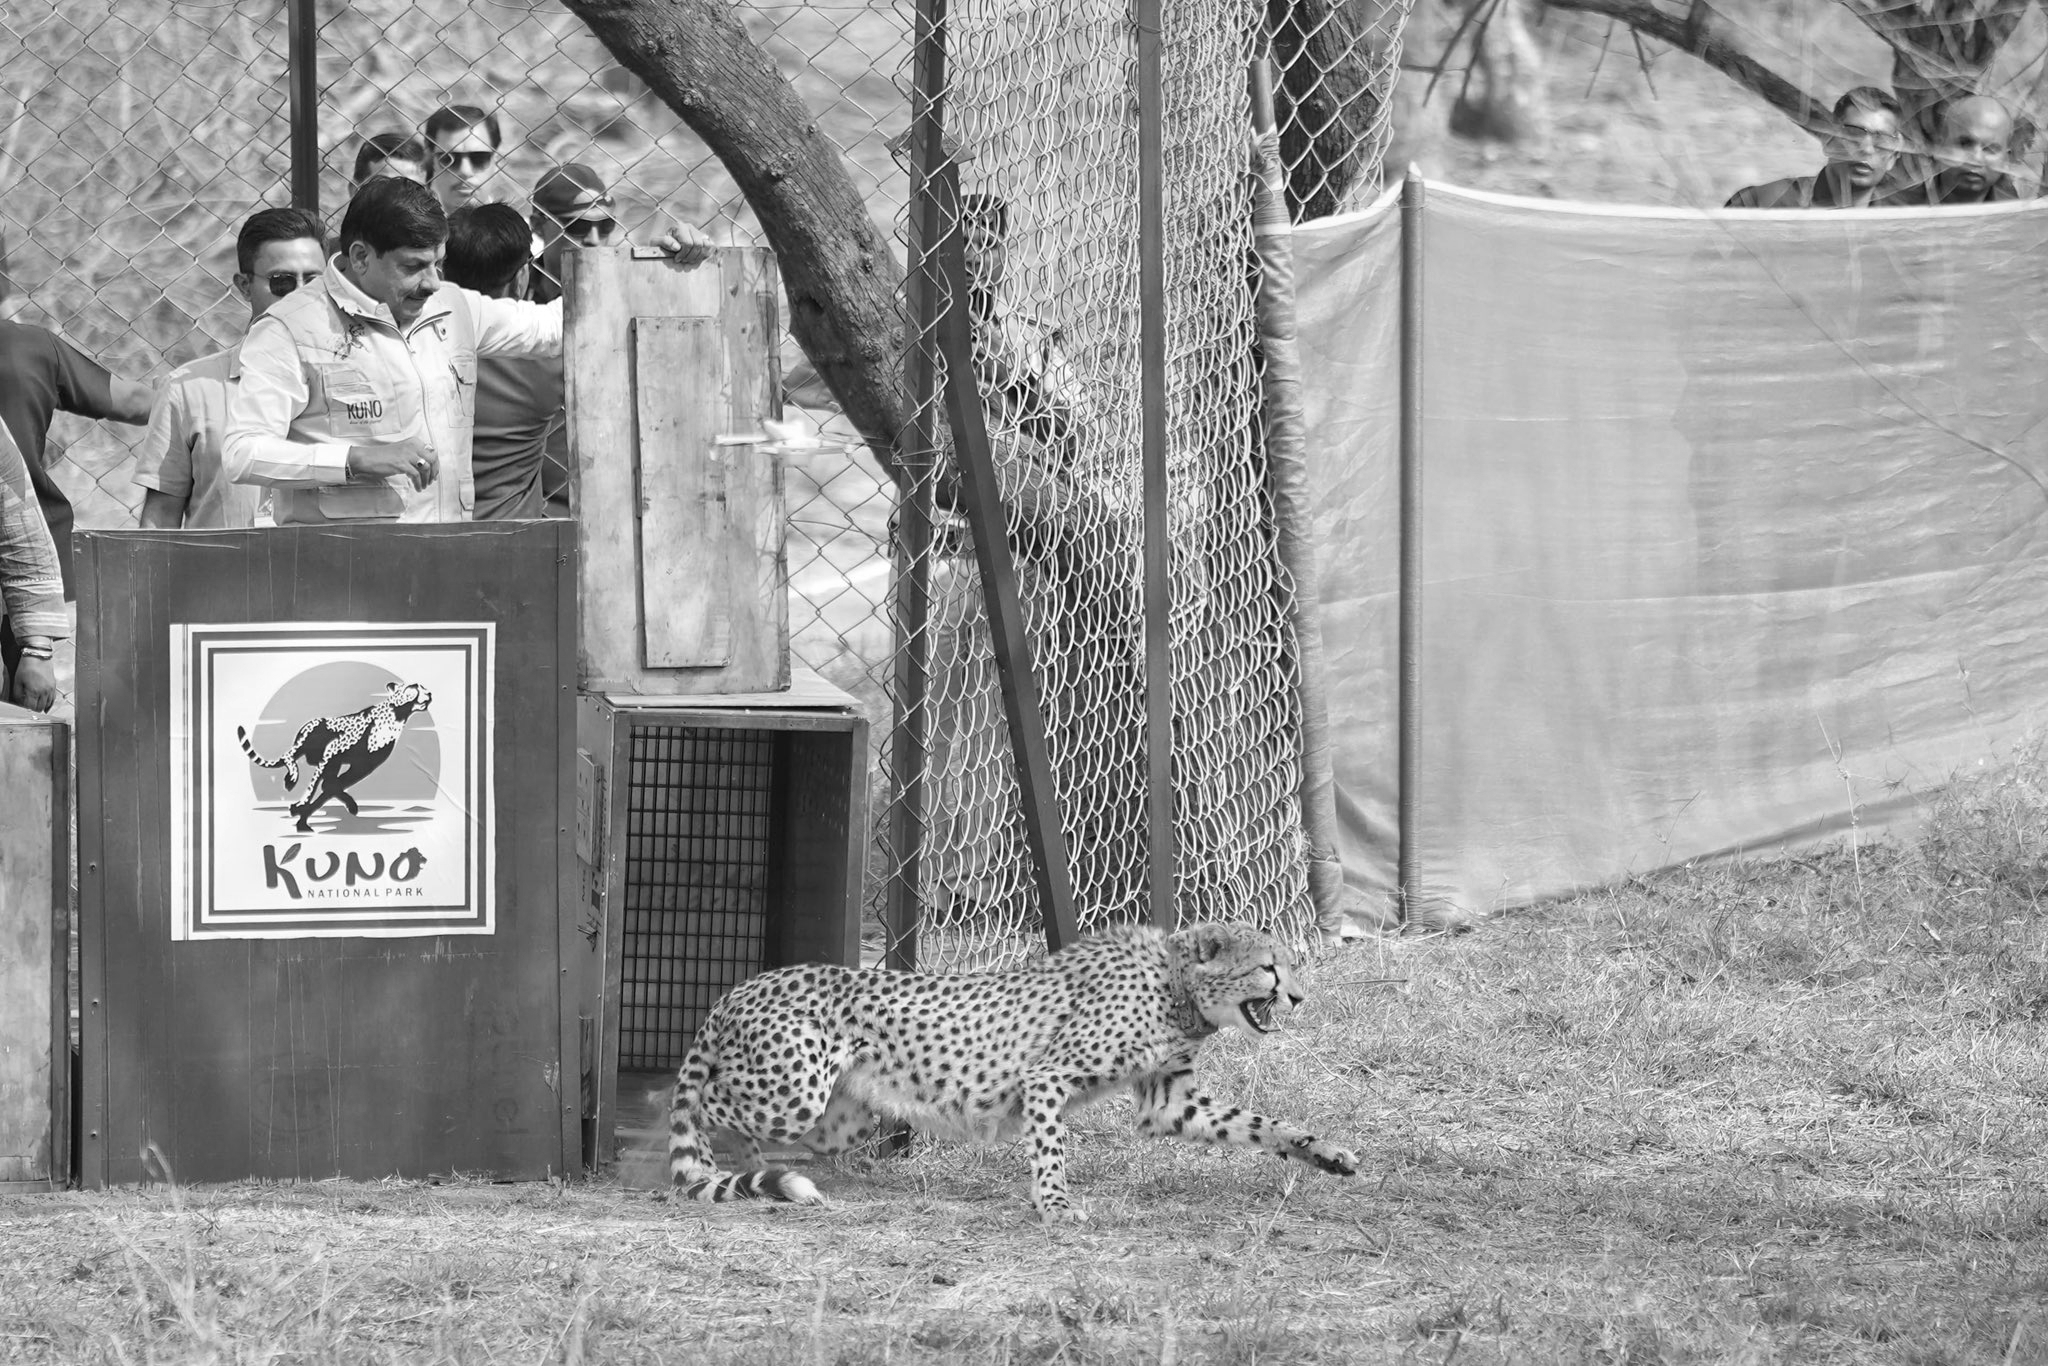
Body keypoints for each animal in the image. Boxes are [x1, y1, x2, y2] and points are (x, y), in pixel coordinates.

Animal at [237, 681, 433, 833]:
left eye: (423, 687)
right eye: (414, 686)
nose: (430, 693)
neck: (398, 714)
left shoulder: (363, 765)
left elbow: (331, 786)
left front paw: (305, 814)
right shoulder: (332, 751)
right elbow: (316, 785)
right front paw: (301, 804)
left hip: (332, 762)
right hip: (313, 735)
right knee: (289, 755)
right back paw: (292, 775)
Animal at [665, 920, 1359, 1222]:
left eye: (1288, 965)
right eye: (1269, 968)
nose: (1299, 998)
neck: (1175, 984)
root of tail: (744, 985)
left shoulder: (1169, 1101)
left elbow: (1262, 1124)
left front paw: (1324, 1153)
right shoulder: (1047, 1077)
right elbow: (1050, 1147)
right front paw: (1055, 1203)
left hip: (840, 1119)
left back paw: (749, 1167)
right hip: (792, 1093)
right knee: (700, 1099)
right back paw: (710, 1162)